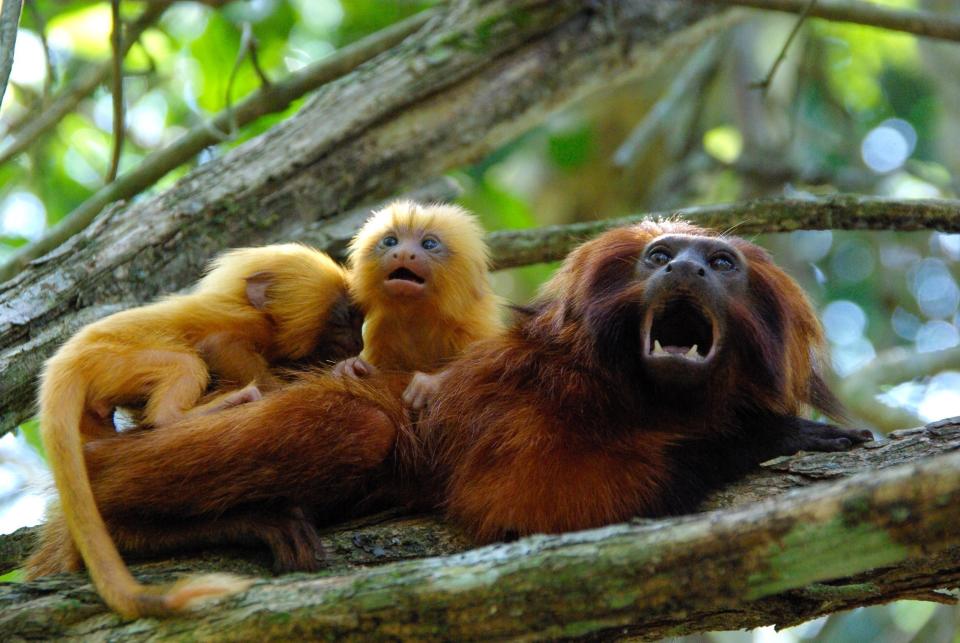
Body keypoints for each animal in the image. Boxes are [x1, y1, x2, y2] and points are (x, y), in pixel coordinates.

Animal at [34, 243, 360, 620]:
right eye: (341, 317)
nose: (357, 340)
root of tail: (66, 362)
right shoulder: (244, 327)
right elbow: (220, 346)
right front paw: (333, 374)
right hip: (114, 359)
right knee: (184, 366)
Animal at [336, 201, 506, 410]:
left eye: (429, 244)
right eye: (390, 241)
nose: (403, 254)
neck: (417, 317)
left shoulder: (470, 327)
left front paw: (430, 383)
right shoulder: (383, 332)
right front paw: (352, 367)